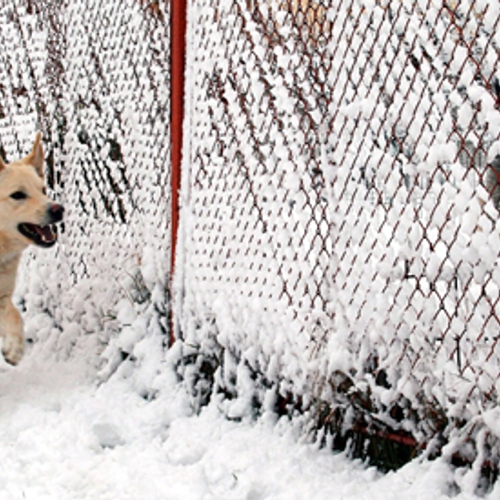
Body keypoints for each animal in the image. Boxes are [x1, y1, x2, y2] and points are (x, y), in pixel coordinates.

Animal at [0, 133, 63, 366]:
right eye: (18, 195)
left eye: (43, 190)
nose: (58, 209)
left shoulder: (2, 296)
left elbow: (15, 315)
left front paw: (14, 348)